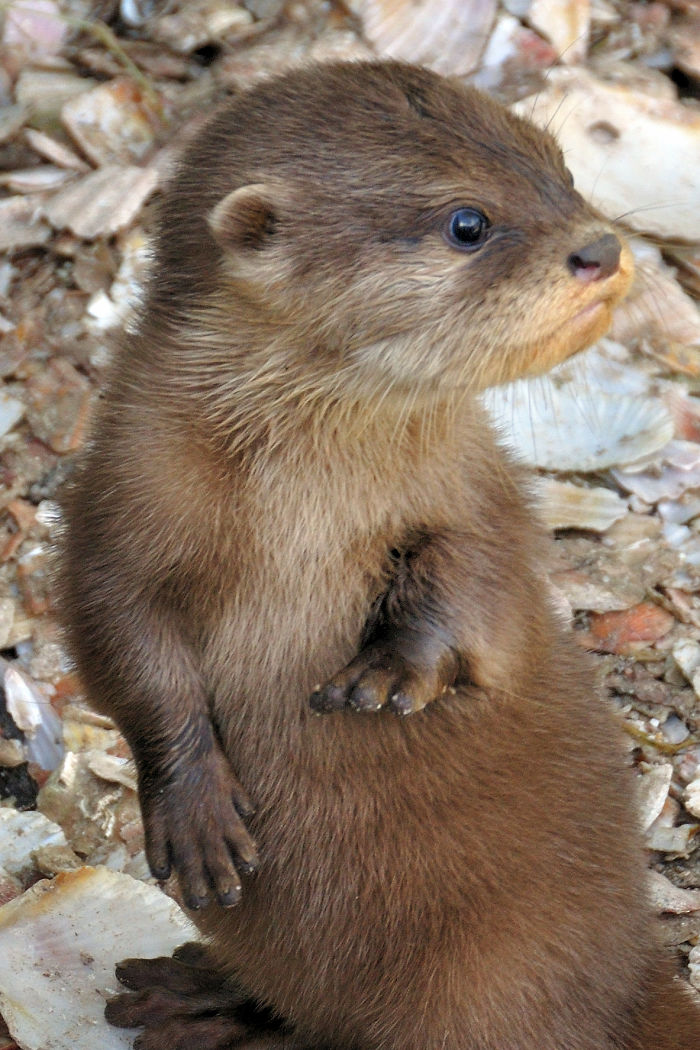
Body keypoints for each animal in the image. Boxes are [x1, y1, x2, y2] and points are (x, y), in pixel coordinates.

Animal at [60, 61, 700, 1049]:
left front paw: (397, 668)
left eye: (561, 170)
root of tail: (636, 977)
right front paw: (196, 813)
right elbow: (121, 640)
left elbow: (486, 581)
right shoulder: (120, 496)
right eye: (467, 222)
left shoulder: (476, 485)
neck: (305, 500)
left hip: (486, 976)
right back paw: (195, 998)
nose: (598, 247)